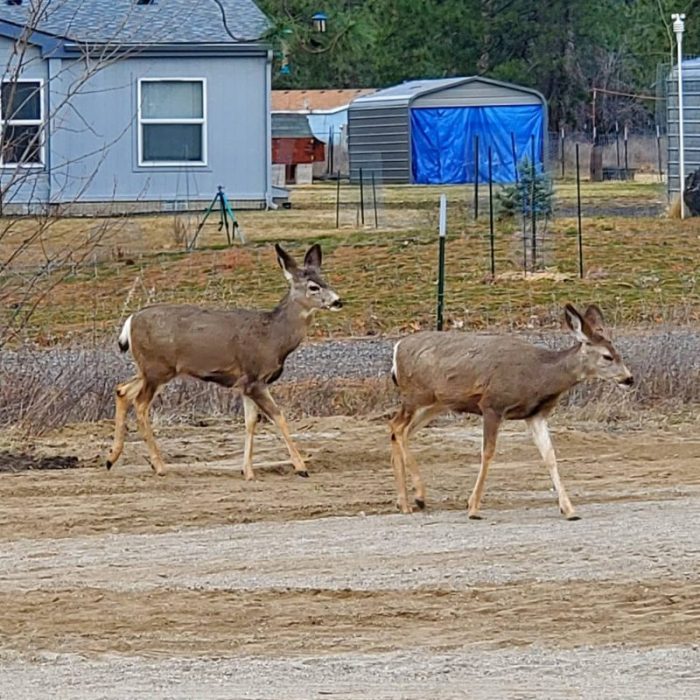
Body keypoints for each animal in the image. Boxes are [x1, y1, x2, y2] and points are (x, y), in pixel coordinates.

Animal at [106, 243, 342, 480]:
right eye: (313, 287)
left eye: (325, 280)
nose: (338, 301)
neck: (273, 336)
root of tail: (130, 320)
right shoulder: (255, 378)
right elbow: (278, 416)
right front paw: (301, 467)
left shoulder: (245, 384)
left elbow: (250, 422)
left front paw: (247, 470)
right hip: (157, 368)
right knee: (140, 404)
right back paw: (159, 465)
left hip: (149, 369)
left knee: (122, 390)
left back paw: (111, 459)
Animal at [389, 303, 633, 520]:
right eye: (607, 356)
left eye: (619, 353)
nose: (629, 378)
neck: (540, 375)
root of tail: (397, 347)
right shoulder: (492, 404)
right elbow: (487, 452)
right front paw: (473, 507)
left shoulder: (535, 414)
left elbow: (550, 455)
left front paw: (569, 509)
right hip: (417, 395)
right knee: (398, 427)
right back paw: (418, 497)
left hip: (436, 403)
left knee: (399, 430)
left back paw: (404, 503)